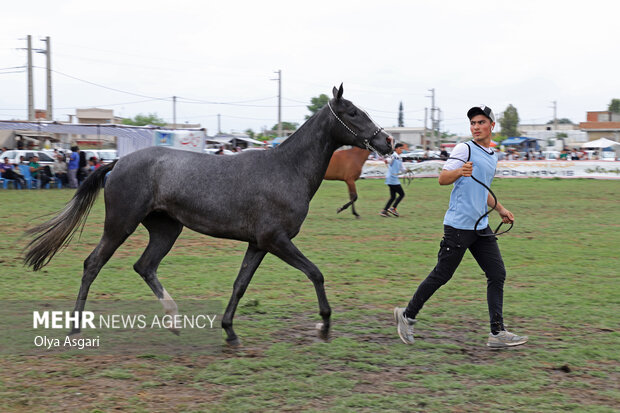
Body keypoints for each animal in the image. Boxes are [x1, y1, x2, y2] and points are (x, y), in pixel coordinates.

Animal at [24, 85, 394, 346]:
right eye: (353, 112)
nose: (388, 141)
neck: (286, 169)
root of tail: (117, 162)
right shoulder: (276, 240)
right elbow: (315, 273)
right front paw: (324, 326)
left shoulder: (259, 244)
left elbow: (240, 285)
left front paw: (229, 330)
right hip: (120, 225)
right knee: (93, 263)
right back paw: (75, 327)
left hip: (166, 230)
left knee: (144, 266)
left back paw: (173, 320)